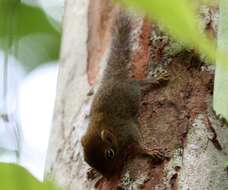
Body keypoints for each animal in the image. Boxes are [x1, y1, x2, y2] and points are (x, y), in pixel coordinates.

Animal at [81, 7, 168, 180]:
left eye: (109, 154)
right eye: (86, 160)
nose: (108, 176)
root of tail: (114, 77)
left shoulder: (126, 130)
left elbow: (138, 142)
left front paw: (148, 151)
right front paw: (92, 172)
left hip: (131, 88)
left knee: (140, 84)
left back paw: (155, 80)